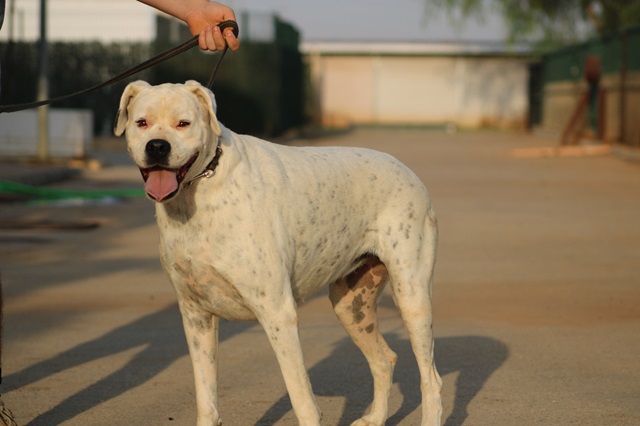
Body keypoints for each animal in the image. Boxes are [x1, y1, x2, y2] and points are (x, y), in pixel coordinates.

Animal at [114, 80, 442, 426]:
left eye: (183, 123)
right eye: (142, 123)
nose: (157, 146)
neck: (201, 191)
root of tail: (406, 169)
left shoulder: (277, 313)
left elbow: (302, 399)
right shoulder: (196, 316)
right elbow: (206, 397)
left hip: (412, 296)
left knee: (430, 378)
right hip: (352, 305)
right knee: (383, 359)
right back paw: (374, 418)